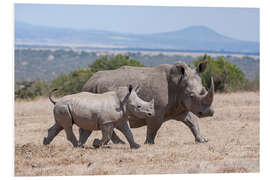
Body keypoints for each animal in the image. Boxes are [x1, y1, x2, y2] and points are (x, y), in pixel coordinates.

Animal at [79, 60, 214, 148]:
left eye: (203, 90)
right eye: (191, 95)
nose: (209, 113)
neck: (179, 84)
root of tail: (88, 81)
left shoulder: (179, 107)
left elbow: (192, 121)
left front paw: (202, 140)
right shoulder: (157, 112)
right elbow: (154, 128)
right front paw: (149, 144)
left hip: (97, 88)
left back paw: (119, 143)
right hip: (91, 89)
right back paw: (119, 143)